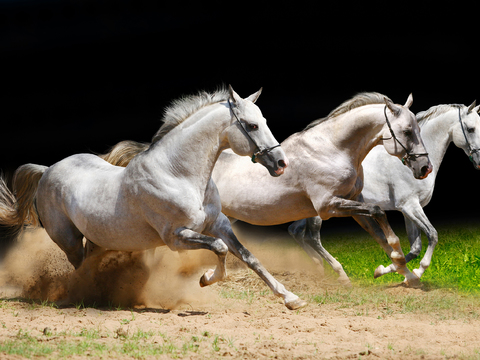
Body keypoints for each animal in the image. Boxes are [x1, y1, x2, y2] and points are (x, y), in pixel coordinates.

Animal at [0, 85, 308, 310]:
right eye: (252, 125)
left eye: (264, 121)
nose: (281, 163)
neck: (178, 173)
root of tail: (47, 170)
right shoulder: (176, 237)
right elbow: (220, 249)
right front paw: (206, 279)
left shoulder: (218, 224)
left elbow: (248, 257)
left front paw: (292, 299)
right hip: (69, 240)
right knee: (79, 268)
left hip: (98, 240)